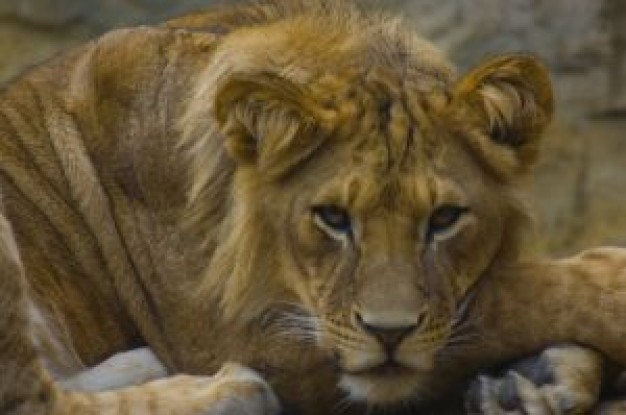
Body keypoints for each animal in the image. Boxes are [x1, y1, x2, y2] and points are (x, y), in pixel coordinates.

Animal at [1, 0, 624, 414]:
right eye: (332, 218)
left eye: (445, 218)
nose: (389, 334)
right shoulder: (243, 336)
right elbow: (513, 297)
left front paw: (537, 381)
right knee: (33, 397)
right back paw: (230, 392)